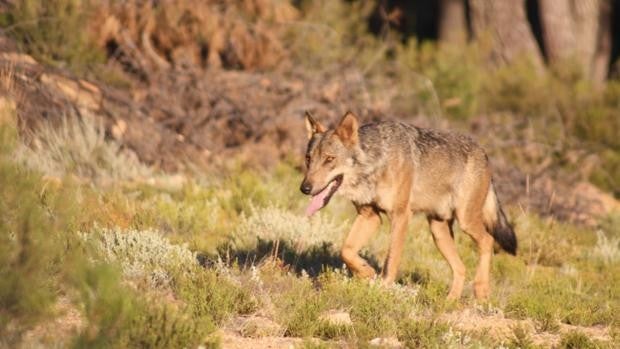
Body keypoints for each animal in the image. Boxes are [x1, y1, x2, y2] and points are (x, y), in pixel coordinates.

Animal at [298, 111, 516, 300]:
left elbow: (391, 261)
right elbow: (347, 250)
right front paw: (366, 272)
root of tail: (484, 153)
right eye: (309, 158)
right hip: (438, 232)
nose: (305, 188)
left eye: (329, 159)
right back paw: (450, 301)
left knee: (488, 241)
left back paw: (481, 290)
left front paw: (382, 291)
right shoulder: (370, 216)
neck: (376, 162)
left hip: (465, 220)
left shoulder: (401, 216)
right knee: (461, 267)